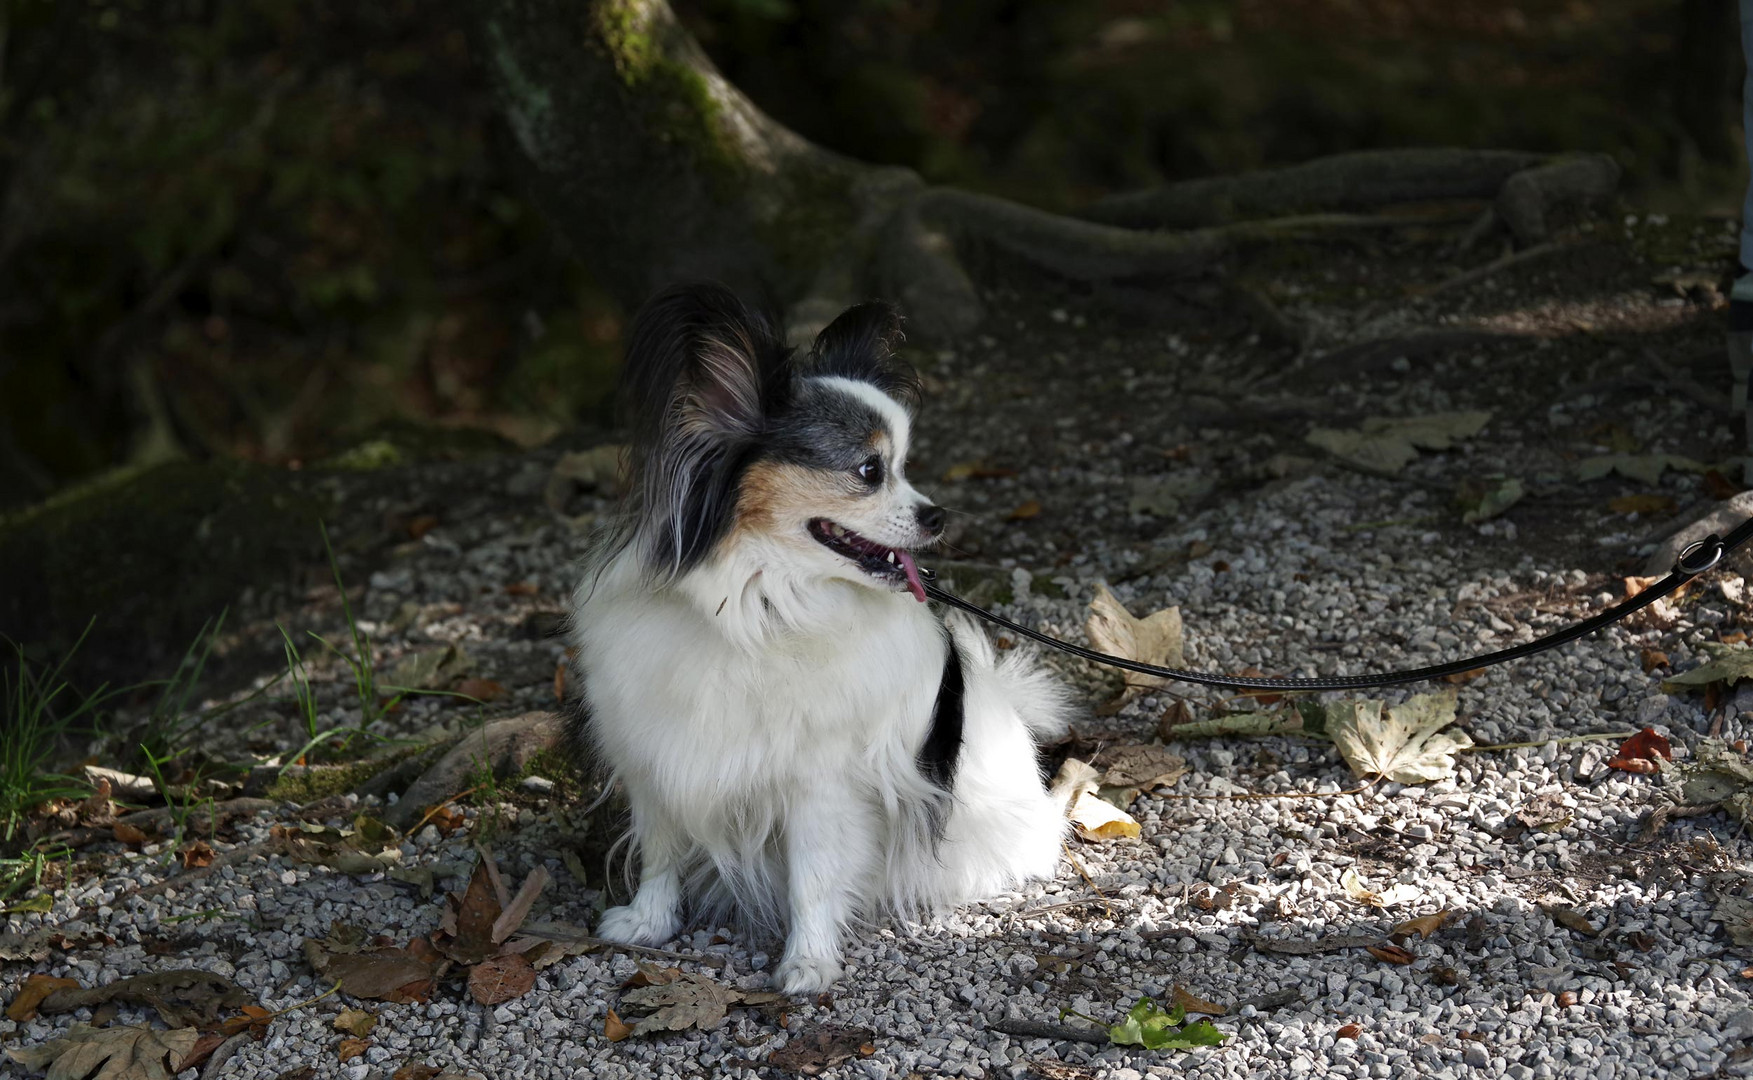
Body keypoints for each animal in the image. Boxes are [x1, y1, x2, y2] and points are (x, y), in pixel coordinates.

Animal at [567, 282, 1072, 988]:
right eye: (869, 470)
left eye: (904, 466)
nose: (938, 516)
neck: (762, 609)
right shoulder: (659, 756)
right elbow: (660, 849)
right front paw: (648, 923)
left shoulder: (820, 784)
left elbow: (813, 876)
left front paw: (807, 963)